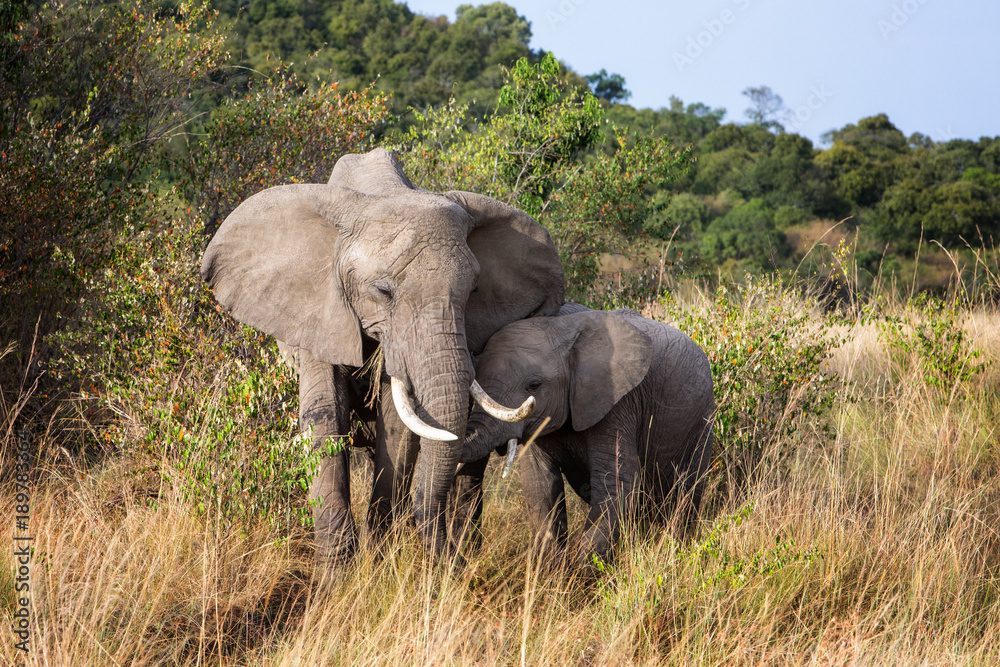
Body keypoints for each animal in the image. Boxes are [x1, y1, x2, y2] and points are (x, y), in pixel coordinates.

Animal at [203, 150, 564, 568]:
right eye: (382, 291)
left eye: (474, 291)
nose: (448, 564)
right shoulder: (319, 309)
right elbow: (325, 414)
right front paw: (337, 575)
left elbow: (399, 426)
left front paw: (377, 563)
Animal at [460, 306, 712, 564]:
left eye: (534, 385)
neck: (562, 330)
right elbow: (541, 484)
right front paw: (552, 570)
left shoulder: (617, 402)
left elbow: (616, 482)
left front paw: (583, 572)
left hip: (701, 423)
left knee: (685, 495)